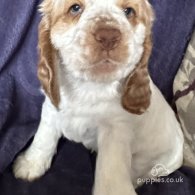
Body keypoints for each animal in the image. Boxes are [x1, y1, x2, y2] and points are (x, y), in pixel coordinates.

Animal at [12, 0, 184, 194]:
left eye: (128, 11)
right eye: (75, 8)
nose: (108, 36)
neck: (89, 85)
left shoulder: (116, 130)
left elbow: (110, 174)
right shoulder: (52, 104)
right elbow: (44, 136)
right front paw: (31, 163)